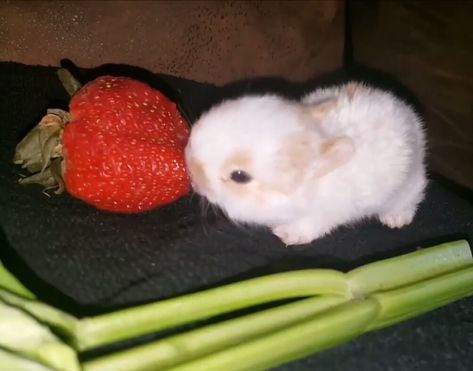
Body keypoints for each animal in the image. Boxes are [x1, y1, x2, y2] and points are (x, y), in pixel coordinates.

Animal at [183, 84, 424, 247]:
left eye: (240, 176)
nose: (193, 173)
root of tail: (408, 117)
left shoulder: (323, 214)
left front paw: (286, 235)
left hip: (407, 185)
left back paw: (396, 219)